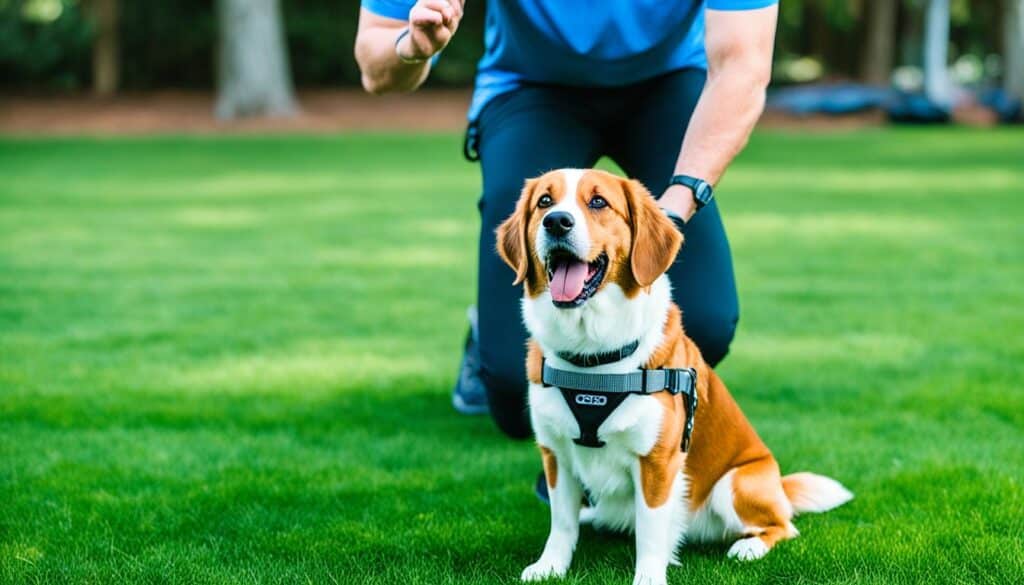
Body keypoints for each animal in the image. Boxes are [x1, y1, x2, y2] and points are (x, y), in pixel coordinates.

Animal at [493, 169, 847, 585]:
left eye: (598, 202)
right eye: (544, 202)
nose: (556, 222)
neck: (593, 356)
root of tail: (780, 486)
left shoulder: (657, 462)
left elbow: (650, 531)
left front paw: (649, 577)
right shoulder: (556, 453)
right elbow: (561, 522)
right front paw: (550, 566)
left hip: (736, 484)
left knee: (783, 526)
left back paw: (748, 547)